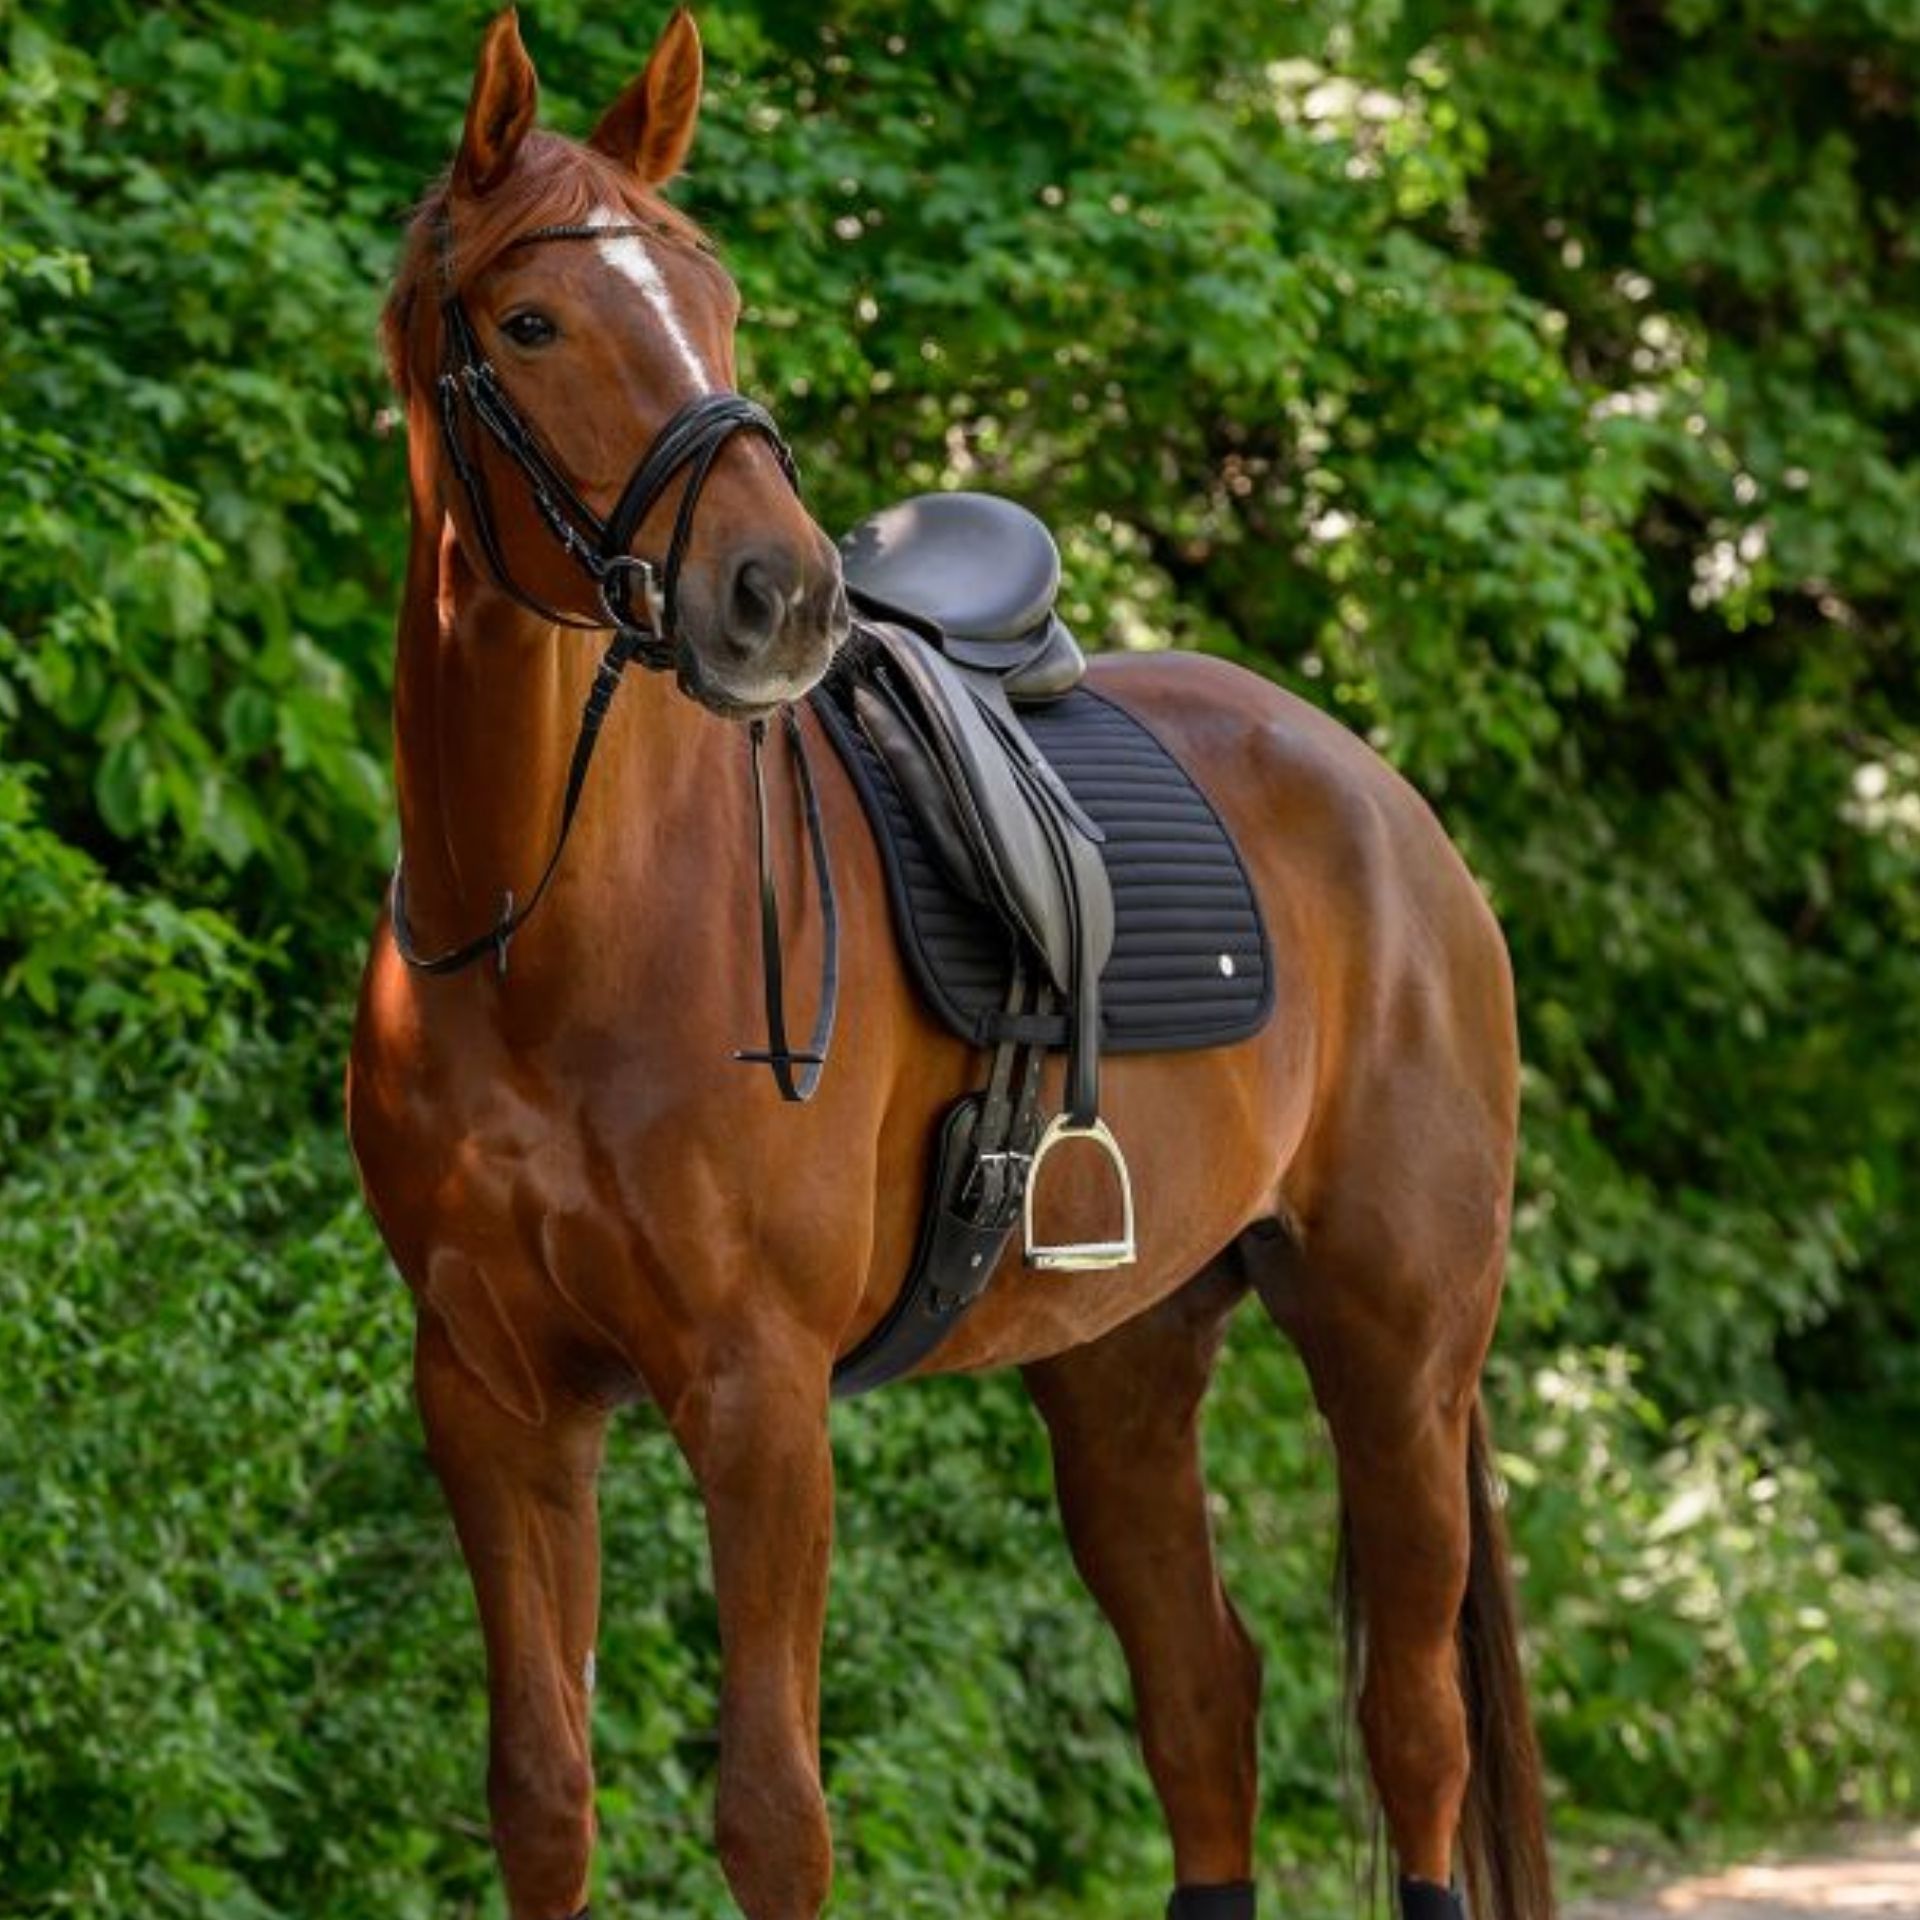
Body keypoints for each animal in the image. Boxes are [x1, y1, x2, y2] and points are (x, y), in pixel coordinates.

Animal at [346, 11, 1554, 1920]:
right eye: (532, 323)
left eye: (717, 295)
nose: (782, 597)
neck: (551, 936)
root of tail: (1384, 801)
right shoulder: (492, 1397)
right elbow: (540, 1796)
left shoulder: (758, 1398)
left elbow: (775, 1815)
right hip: (1124, 1362)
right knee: (1202, 1694)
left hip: (1398, 1352)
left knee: (1414, 1724)